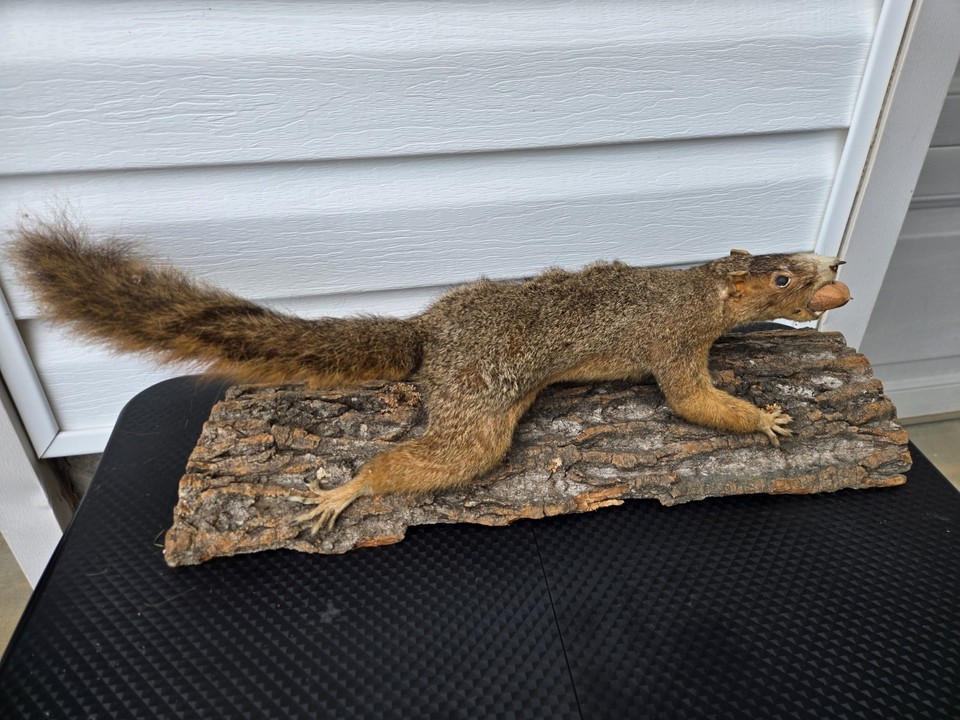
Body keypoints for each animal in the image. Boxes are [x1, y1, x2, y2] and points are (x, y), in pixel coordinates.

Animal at [8, 217, 848, 532]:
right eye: (781, 279)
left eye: (802, 262)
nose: (835, 272)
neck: (697, 291)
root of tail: (429, 335)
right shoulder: (672, 346)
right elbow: (692, 400)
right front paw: (763, 417)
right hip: (477, 414)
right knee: (431, 457)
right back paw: (352, 487)